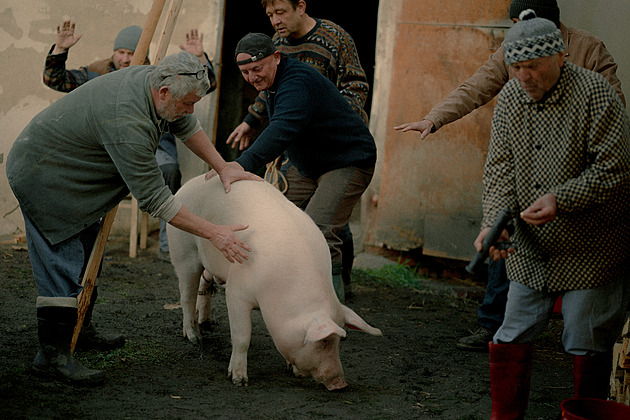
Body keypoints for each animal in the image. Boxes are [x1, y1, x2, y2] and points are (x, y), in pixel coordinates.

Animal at [168, 175, 382, 390]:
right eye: (324, 342)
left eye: (339, 341)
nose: (340, 384)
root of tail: (188, 185)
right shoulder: (237, 292)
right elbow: (241, 336)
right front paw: (239, 381)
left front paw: (293, 371)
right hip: (183, 252)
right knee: (186, 296)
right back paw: (195, 338)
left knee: (204, 286)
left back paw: (206, 322)